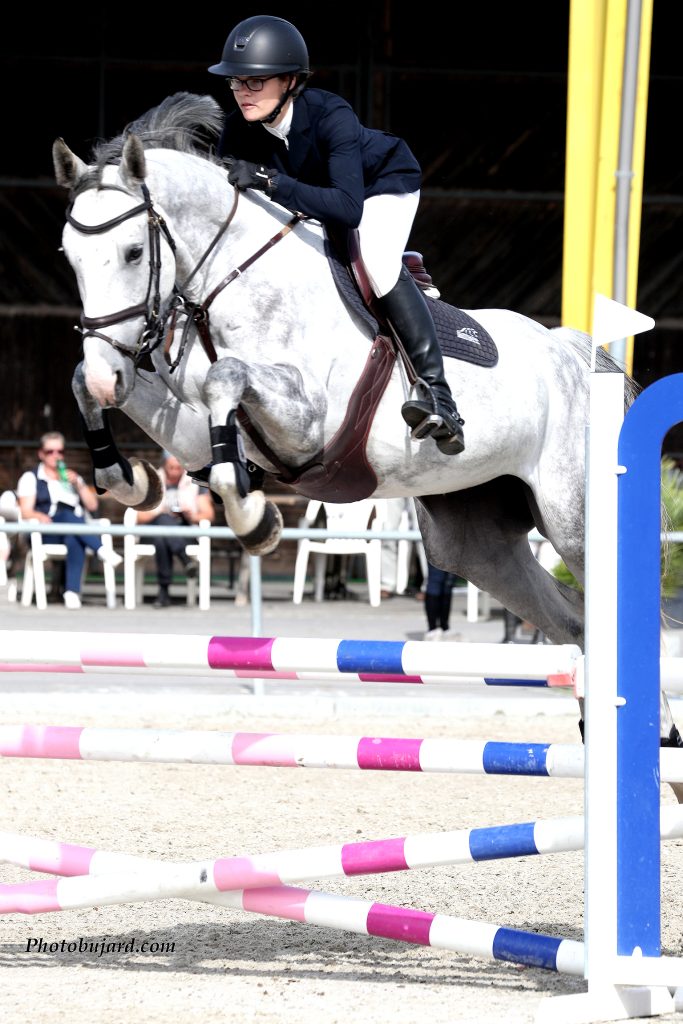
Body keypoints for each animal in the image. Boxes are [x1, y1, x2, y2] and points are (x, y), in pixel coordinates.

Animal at [49, 94, 668, 699]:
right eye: (69, 257)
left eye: (134, 252)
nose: (111, 374)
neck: (232, 283)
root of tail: (573, 353)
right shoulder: (197, 432)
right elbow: (90, 382)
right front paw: (129, 478)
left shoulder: (309, 425)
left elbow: (225, 376)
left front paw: (251, 516)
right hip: (473, 540)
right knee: (574, 623)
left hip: (575, 523)